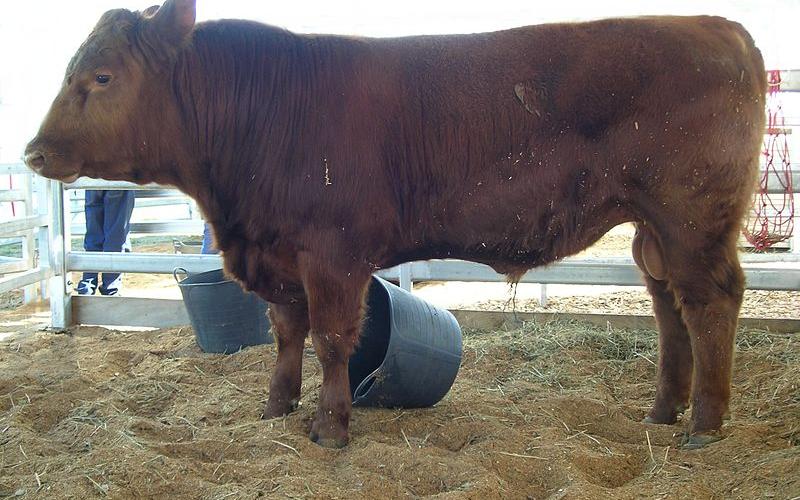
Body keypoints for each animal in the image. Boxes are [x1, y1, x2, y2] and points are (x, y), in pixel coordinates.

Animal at [25, 0, 766, 449]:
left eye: (101, 76)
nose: (33, 152)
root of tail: (719, 28)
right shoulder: (280, 256)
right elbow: (286, 335)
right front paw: (275, 407)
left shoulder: (331, 255)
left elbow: (329, 340)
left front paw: (329, 427)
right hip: (653, 231)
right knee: (669, 309)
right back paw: (664, 409)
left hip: (691, 217)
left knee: (711, 303)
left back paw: (705, 422)